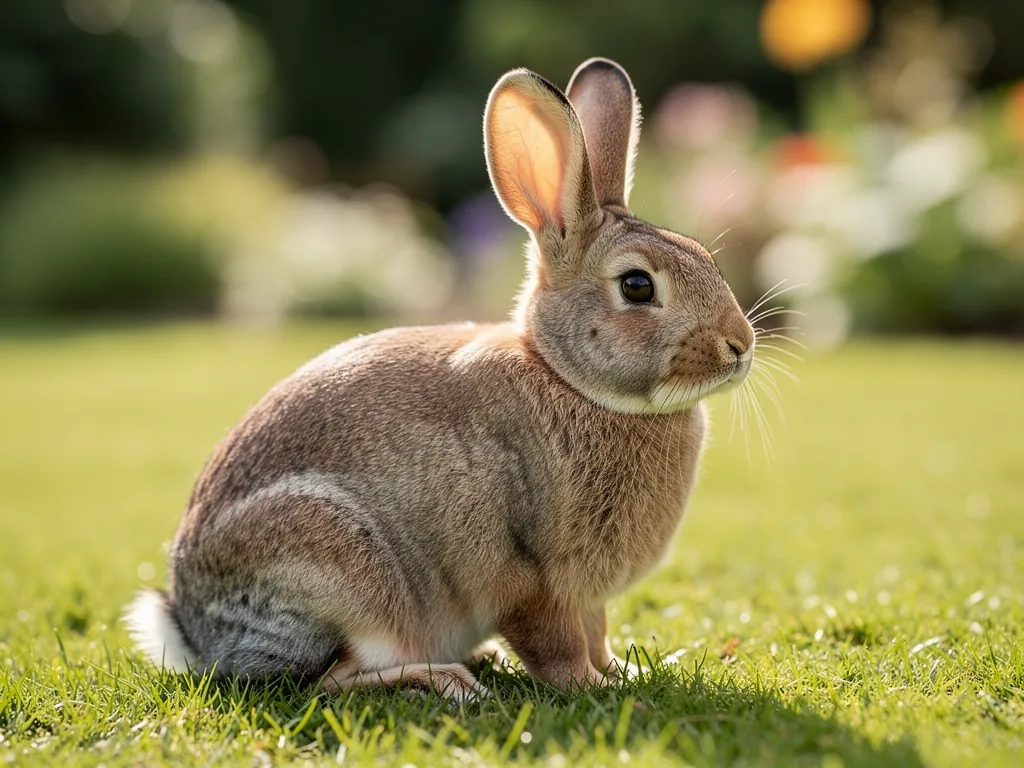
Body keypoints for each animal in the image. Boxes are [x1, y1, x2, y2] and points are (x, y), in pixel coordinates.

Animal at [125, 57, 755, 701]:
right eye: (637, 286)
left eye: (705, 257)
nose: (741, 345)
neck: (568, 378)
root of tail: (194, 630)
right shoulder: (528, 577)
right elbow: (554, 643)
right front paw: (593, 688)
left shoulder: (586, 598)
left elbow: (595, 631)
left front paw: (620, 671)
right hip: (340, 569)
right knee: (327, 680)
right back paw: (446, 680)